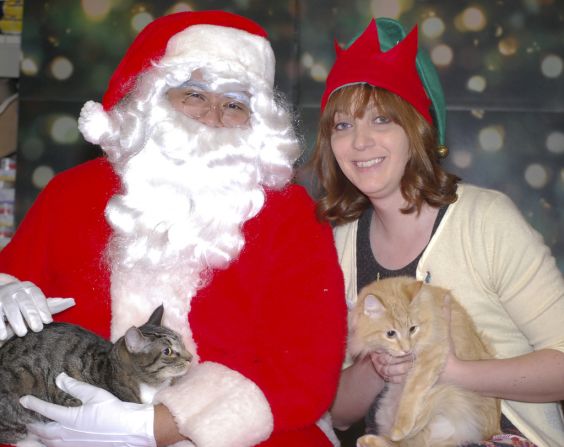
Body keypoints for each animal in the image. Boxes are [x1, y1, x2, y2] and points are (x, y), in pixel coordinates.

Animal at [350, 276, 500, 447]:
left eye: (412, 329)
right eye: (390, 334)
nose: (407, 349)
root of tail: (490, 433)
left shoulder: (431, 354)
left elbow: (411, 395)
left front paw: (400, 427)